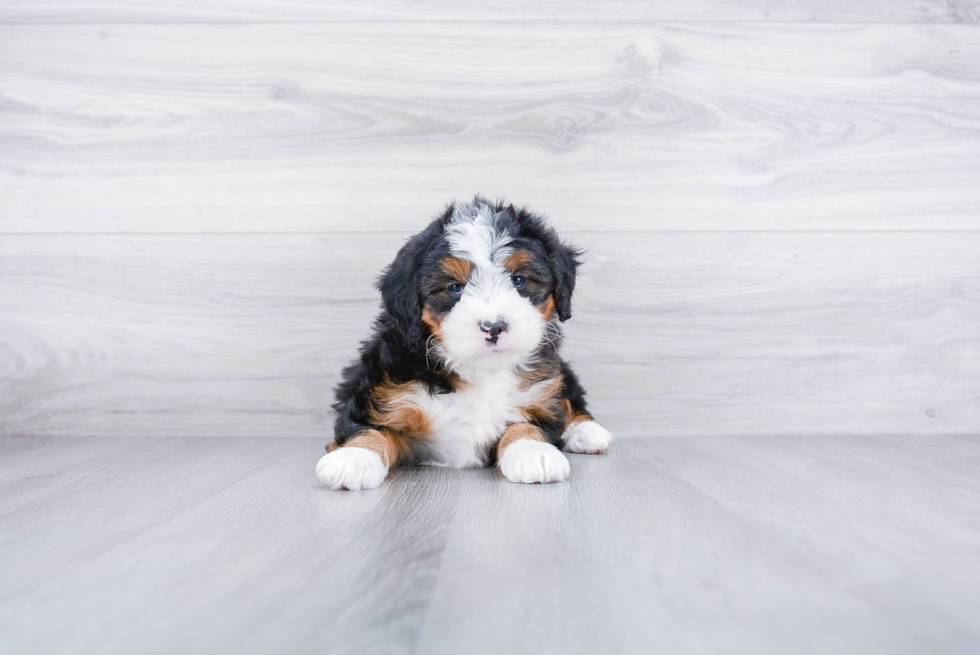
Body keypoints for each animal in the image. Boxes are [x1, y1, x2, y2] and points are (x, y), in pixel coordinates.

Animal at [318, 197, 612, 490]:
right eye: (454, 288)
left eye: (518, 280)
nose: (493, 327)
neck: (481, 369)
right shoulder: (380, 393)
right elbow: (369, 427)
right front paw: (355, 456)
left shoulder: (541, 398)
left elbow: (529, 424)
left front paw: (533, 452)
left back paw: (586, 431)